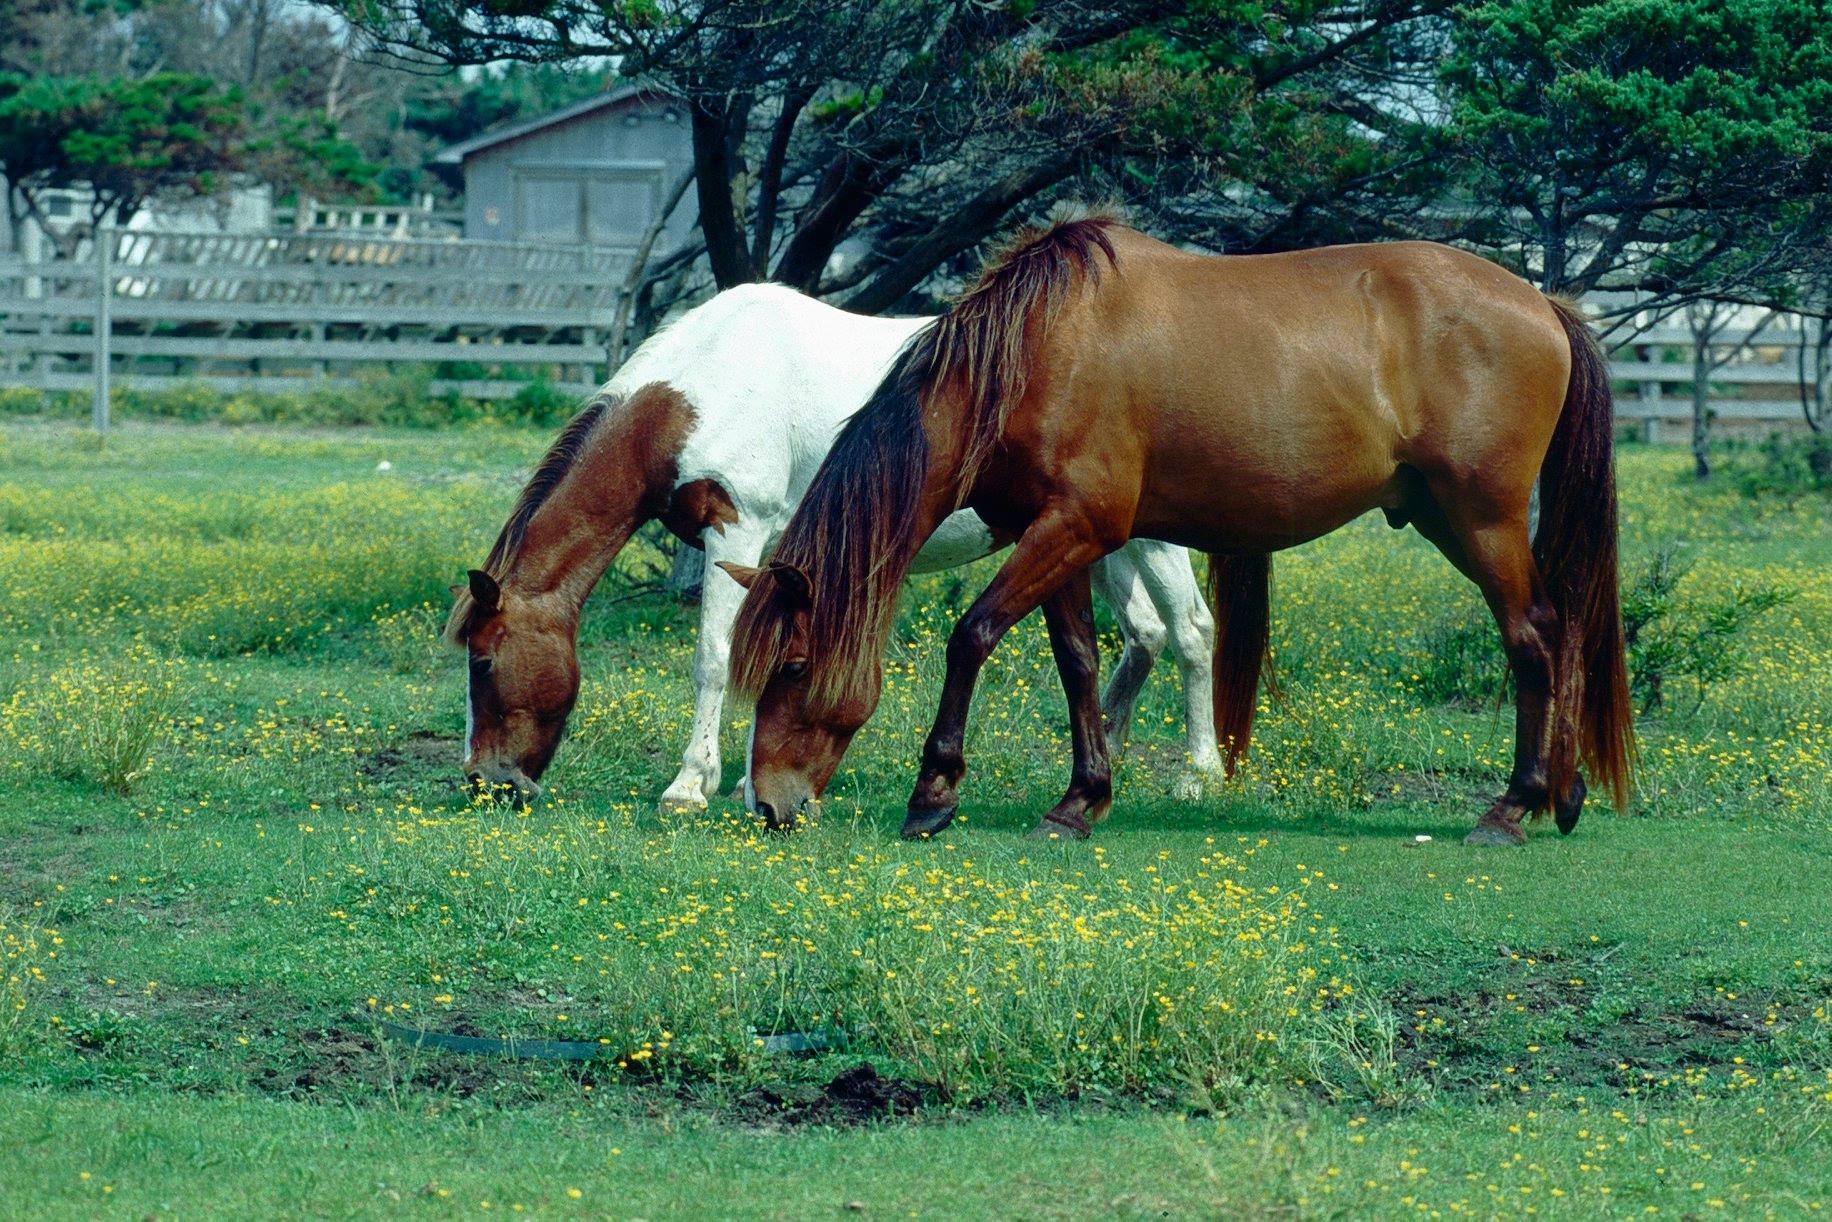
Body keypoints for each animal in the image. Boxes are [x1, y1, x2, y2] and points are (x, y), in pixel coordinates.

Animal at [443, 282, 1225, 808]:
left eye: (482, 661)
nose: (483, 782)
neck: (709, 381)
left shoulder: (736, 527)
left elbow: (714, 659)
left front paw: (691, 785)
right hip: (1098, 541)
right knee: (1145, 634)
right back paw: (1108, 754)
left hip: (1146, 541)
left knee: (1190, 632)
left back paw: (1198, 775)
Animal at [727, 218, 1635, 846]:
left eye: (795, 665)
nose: (767, 804)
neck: (1037, 352)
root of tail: (1543, 305)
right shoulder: (1059, 537)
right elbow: (1079, 663)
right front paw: (1079, 800)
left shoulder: (1076, 527)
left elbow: (972, 635)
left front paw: (934, 794)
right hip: (1449, 520)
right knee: (1554, 633)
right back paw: (1563, 795)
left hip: (1482, 523)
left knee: (1533, 637)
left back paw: (1512, 807)